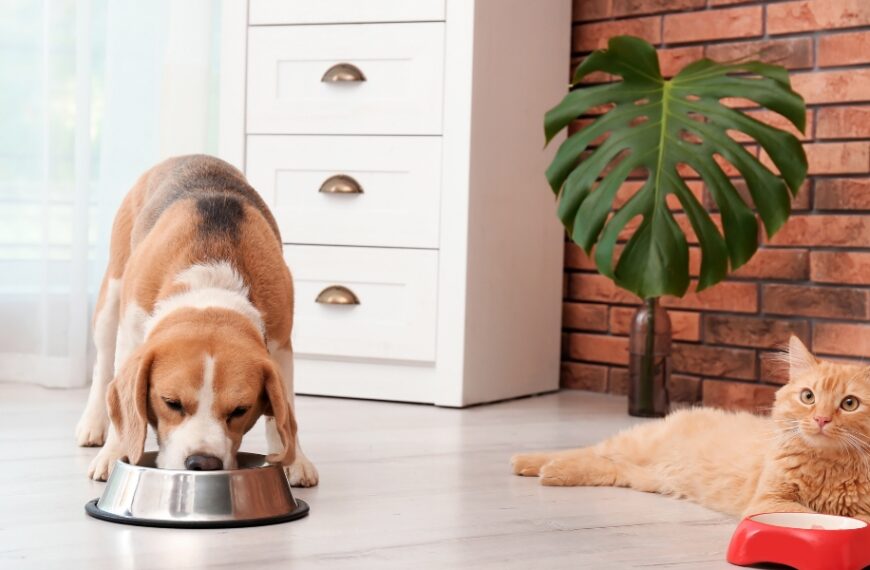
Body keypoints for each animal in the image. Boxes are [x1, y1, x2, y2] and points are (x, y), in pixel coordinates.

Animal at [76, 154, 320, 484]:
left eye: (240, 410)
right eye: (171, 403)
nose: (203, 463)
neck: (210, 278)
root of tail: (188, 156)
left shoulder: (281, 345)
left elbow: (283, 410)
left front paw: (294, 459)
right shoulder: (130, 333)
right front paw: (114, 453)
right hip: (111, 297)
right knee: (102, 366)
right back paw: (92, 424)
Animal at [510, 338, 870, 520]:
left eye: (849, 404)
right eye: (808, 397)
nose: (821, 419)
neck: (828, 467)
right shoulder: (770, 500)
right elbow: (822, 519)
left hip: (640, 476)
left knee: (604, 466)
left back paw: (552, 472)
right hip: (638, 443)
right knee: (590, 450)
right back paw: (530, 463)